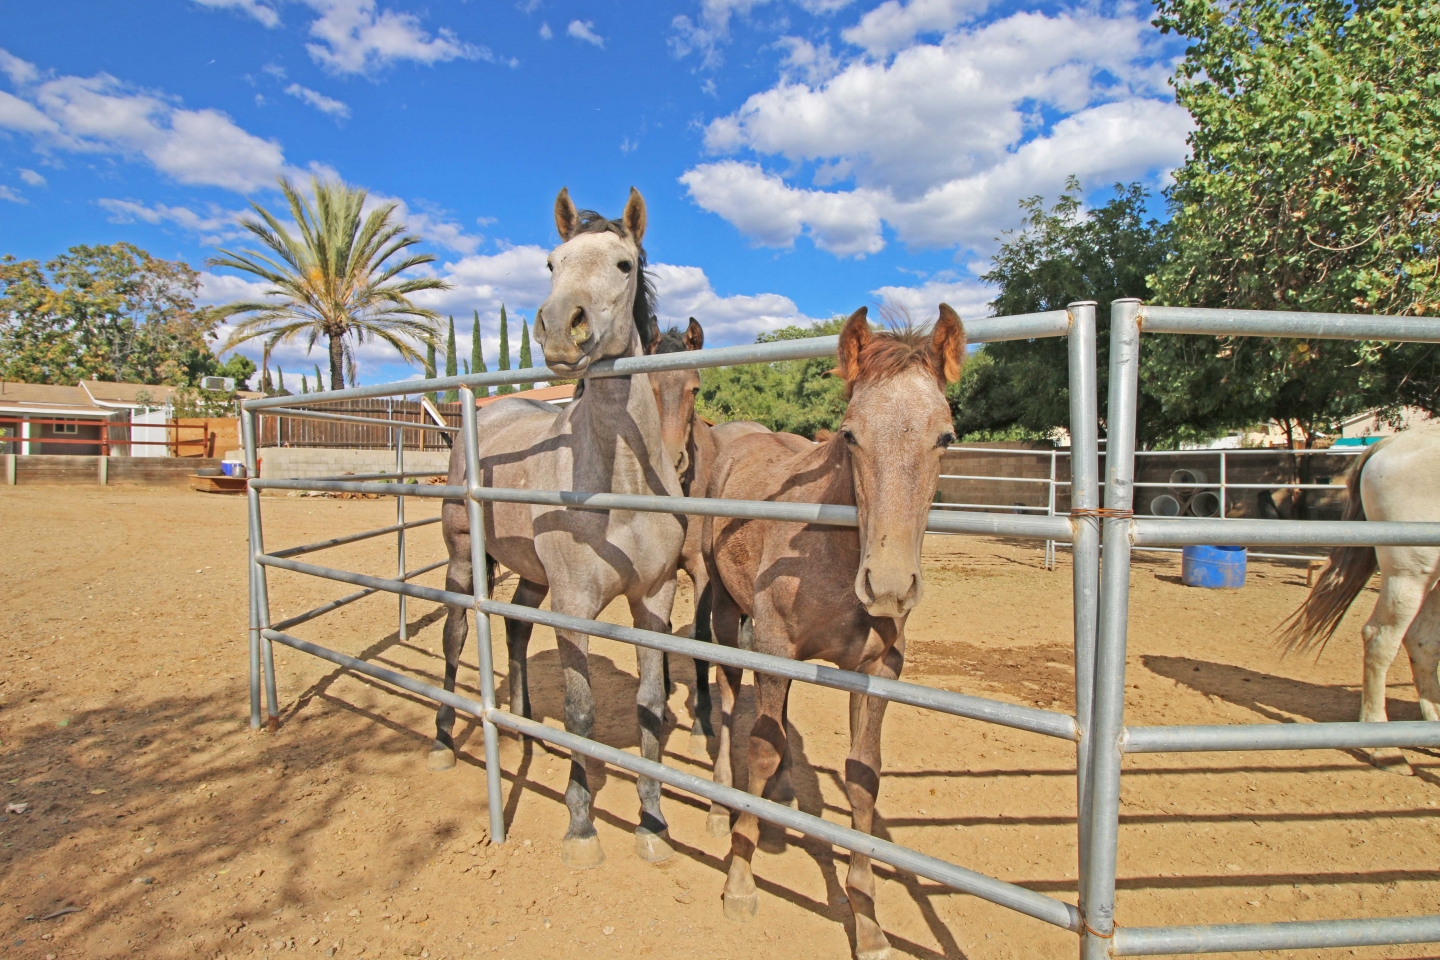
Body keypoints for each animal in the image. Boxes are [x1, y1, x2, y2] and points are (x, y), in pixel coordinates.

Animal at [432, 187, 685, 869]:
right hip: (464, 561)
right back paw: (443, 737)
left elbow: (650, 708)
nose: (558, 325)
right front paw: (581, 827)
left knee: (516, 630)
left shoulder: (654, 601)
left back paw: (523, 727)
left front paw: (653, 824)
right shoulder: (574, 606)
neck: (620, 485)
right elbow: (582, 713)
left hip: (530, 575)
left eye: (624, 264)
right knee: (456, 636)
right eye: (551, 262)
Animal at [702, 308, 961, 960]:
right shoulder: (771, 646)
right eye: (850, 435)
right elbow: (761, 748)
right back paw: (722, 807)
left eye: (945, 436)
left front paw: (868, 923)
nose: (889, 585)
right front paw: (739, 882)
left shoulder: (878, 670)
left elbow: (863, 778)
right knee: (727, 701)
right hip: (723, 610)